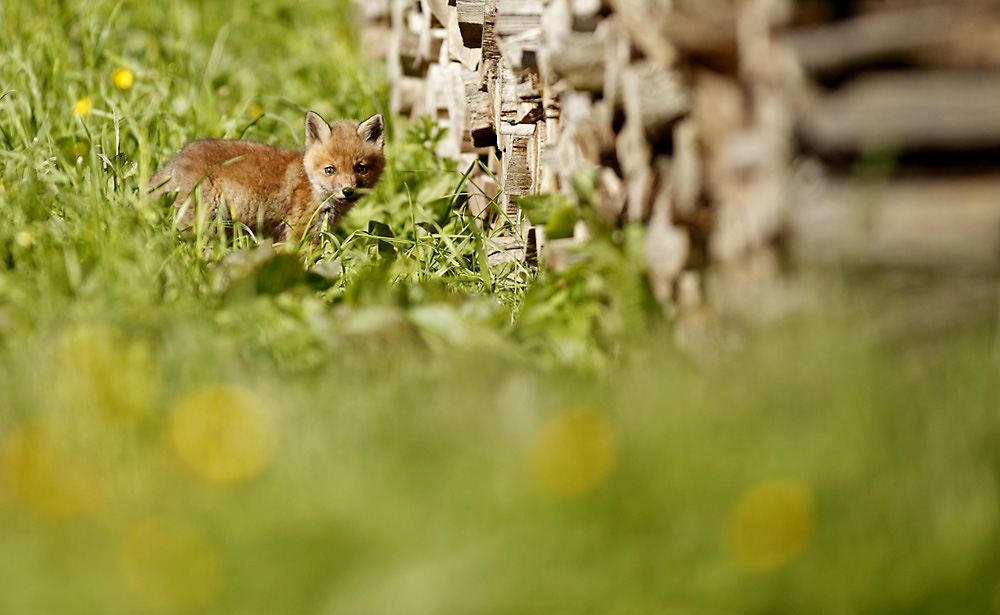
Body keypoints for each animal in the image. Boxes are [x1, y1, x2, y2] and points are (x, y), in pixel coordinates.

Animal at [150, 110, 384, 245]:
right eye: (330, 170)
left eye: (360, 168)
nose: (348, 191)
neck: (312, 187)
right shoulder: (300, 232)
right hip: (205, 224)